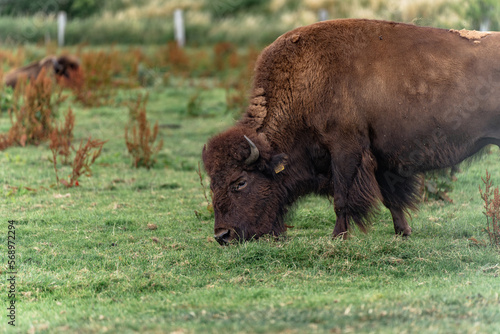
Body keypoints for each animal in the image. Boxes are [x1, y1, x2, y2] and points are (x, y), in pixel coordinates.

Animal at [201, 18, 500, 245]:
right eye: (212, 183)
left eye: (240, 182)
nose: (222, 235)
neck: (306, 80)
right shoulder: (381, 159)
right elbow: (392, 199)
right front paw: (402, 233)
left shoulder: (346, 149)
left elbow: (342, 197)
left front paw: (338, 237)